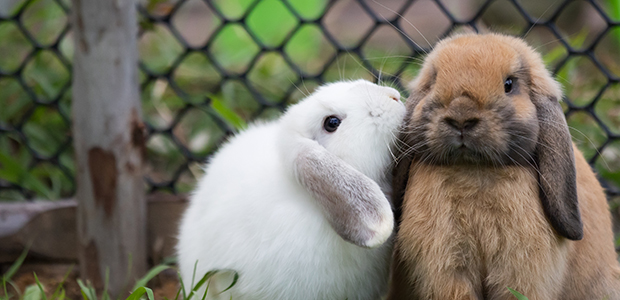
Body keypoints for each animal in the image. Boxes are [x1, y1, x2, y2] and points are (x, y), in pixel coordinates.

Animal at [390, 33, 620, 300]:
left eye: (509, 84)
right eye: (434, 80)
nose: (461, 116)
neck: (473, 172)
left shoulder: (521, 270)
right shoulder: (447, 268)